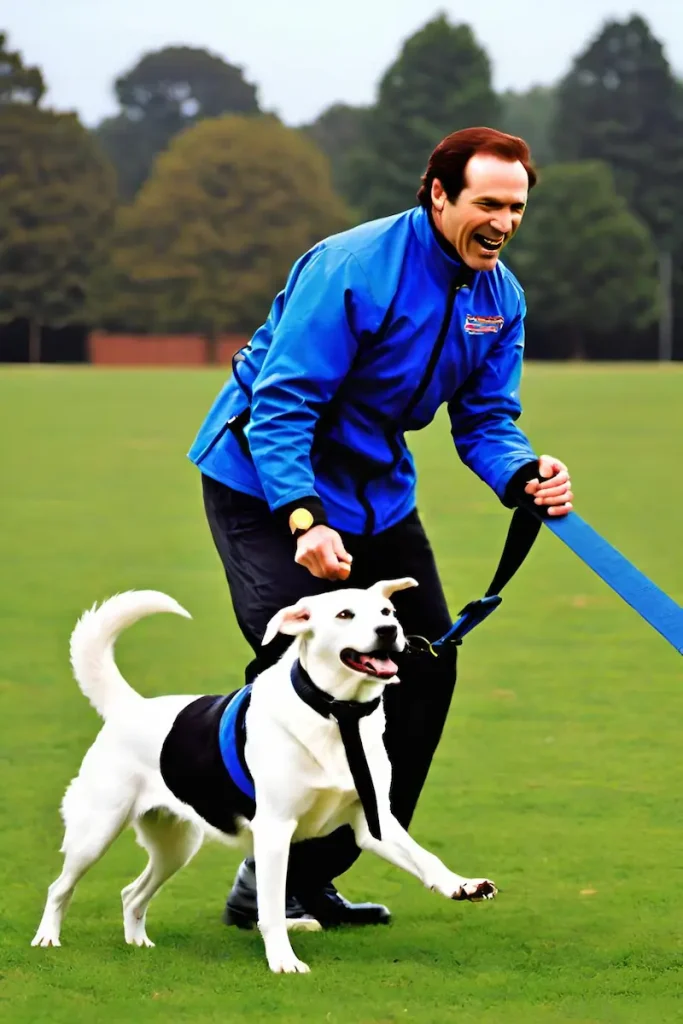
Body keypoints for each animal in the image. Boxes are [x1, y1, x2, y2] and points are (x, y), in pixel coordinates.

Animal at [31, 581, 499, 970]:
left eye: (387, 611)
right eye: (345, 614)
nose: (389, 631)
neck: (337, 715)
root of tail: (129, 707)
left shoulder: (373, 821)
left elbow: (425, 858)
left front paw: (462, 885)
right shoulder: (275, 830)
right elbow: (271, 909)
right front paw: (283, 962)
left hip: (175, 845)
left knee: (132, 894)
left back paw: (137, 942)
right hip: (97, 831)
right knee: (59, 887)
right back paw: (47, 939)